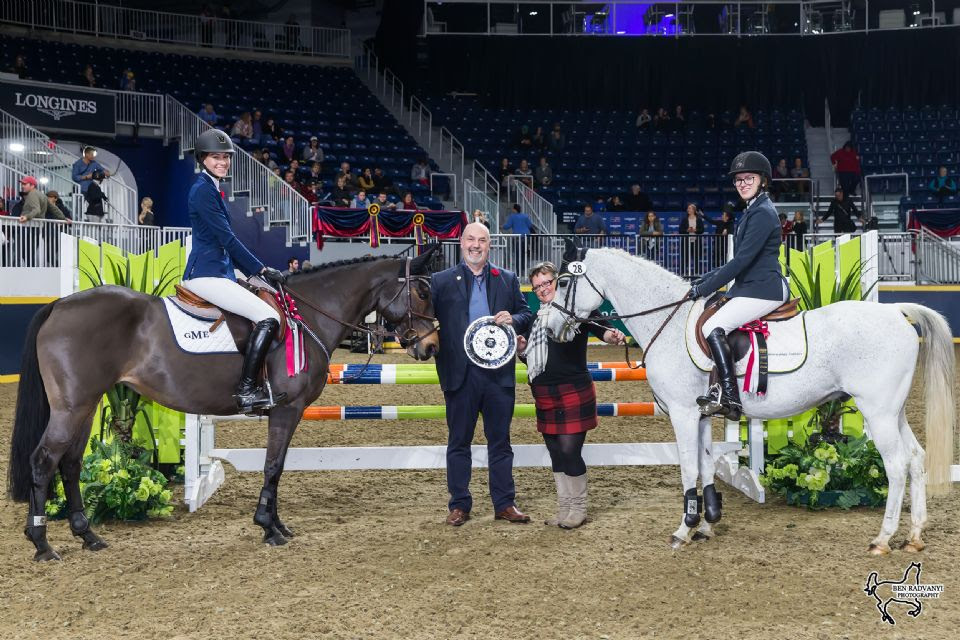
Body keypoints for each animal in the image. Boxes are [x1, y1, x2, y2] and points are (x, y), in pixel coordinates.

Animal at [7, 249, 440, 560]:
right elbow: (273, 465)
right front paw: (268, 527)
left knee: (70, 462)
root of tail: (60, 305)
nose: (431, 346)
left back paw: (88, 535)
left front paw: (276, 524)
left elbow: (277, 466)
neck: (307, 317)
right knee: (44, 460)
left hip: (87, 404)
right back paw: (42, 543)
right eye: (421, 292)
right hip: (72, 406)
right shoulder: (286, 409)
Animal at [544, 242, 956, 552]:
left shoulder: (682, 413)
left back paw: (883, 539)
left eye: (562, 283)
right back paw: (915, 536)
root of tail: (895, 312)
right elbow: (706, 465)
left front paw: (684, 528)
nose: (550, 330)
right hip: (893, 410)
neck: (669, 323)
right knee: (916, 458)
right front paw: (707, 523)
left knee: (896, 465)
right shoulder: (702, 414)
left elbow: (688, 467)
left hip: (877, 411)